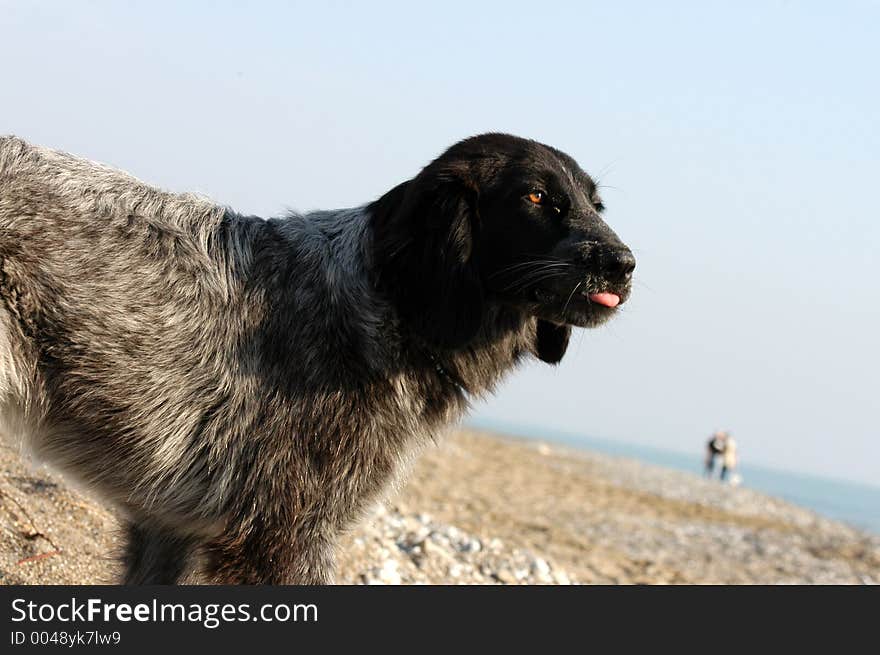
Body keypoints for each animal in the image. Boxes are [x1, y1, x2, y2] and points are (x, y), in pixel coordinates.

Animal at [0, 133, 632, 584]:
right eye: (535, 198)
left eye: (595, 204)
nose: (625, 264)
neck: (390, 305)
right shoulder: (283, 540)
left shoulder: (167, 530)